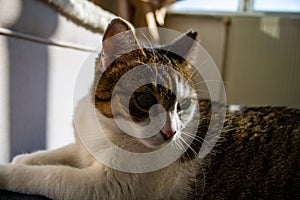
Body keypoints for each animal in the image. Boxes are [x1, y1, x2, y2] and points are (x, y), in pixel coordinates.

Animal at [0, 18, 300, 199]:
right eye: (145, 100)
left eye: (183, 105)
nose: (171, 133)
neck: (108, 132)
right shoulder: (85, 148)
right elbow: (62, 151)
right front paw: (24, 158)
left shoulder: (106, 187)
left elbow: (49, 174)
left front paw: (7, 171)